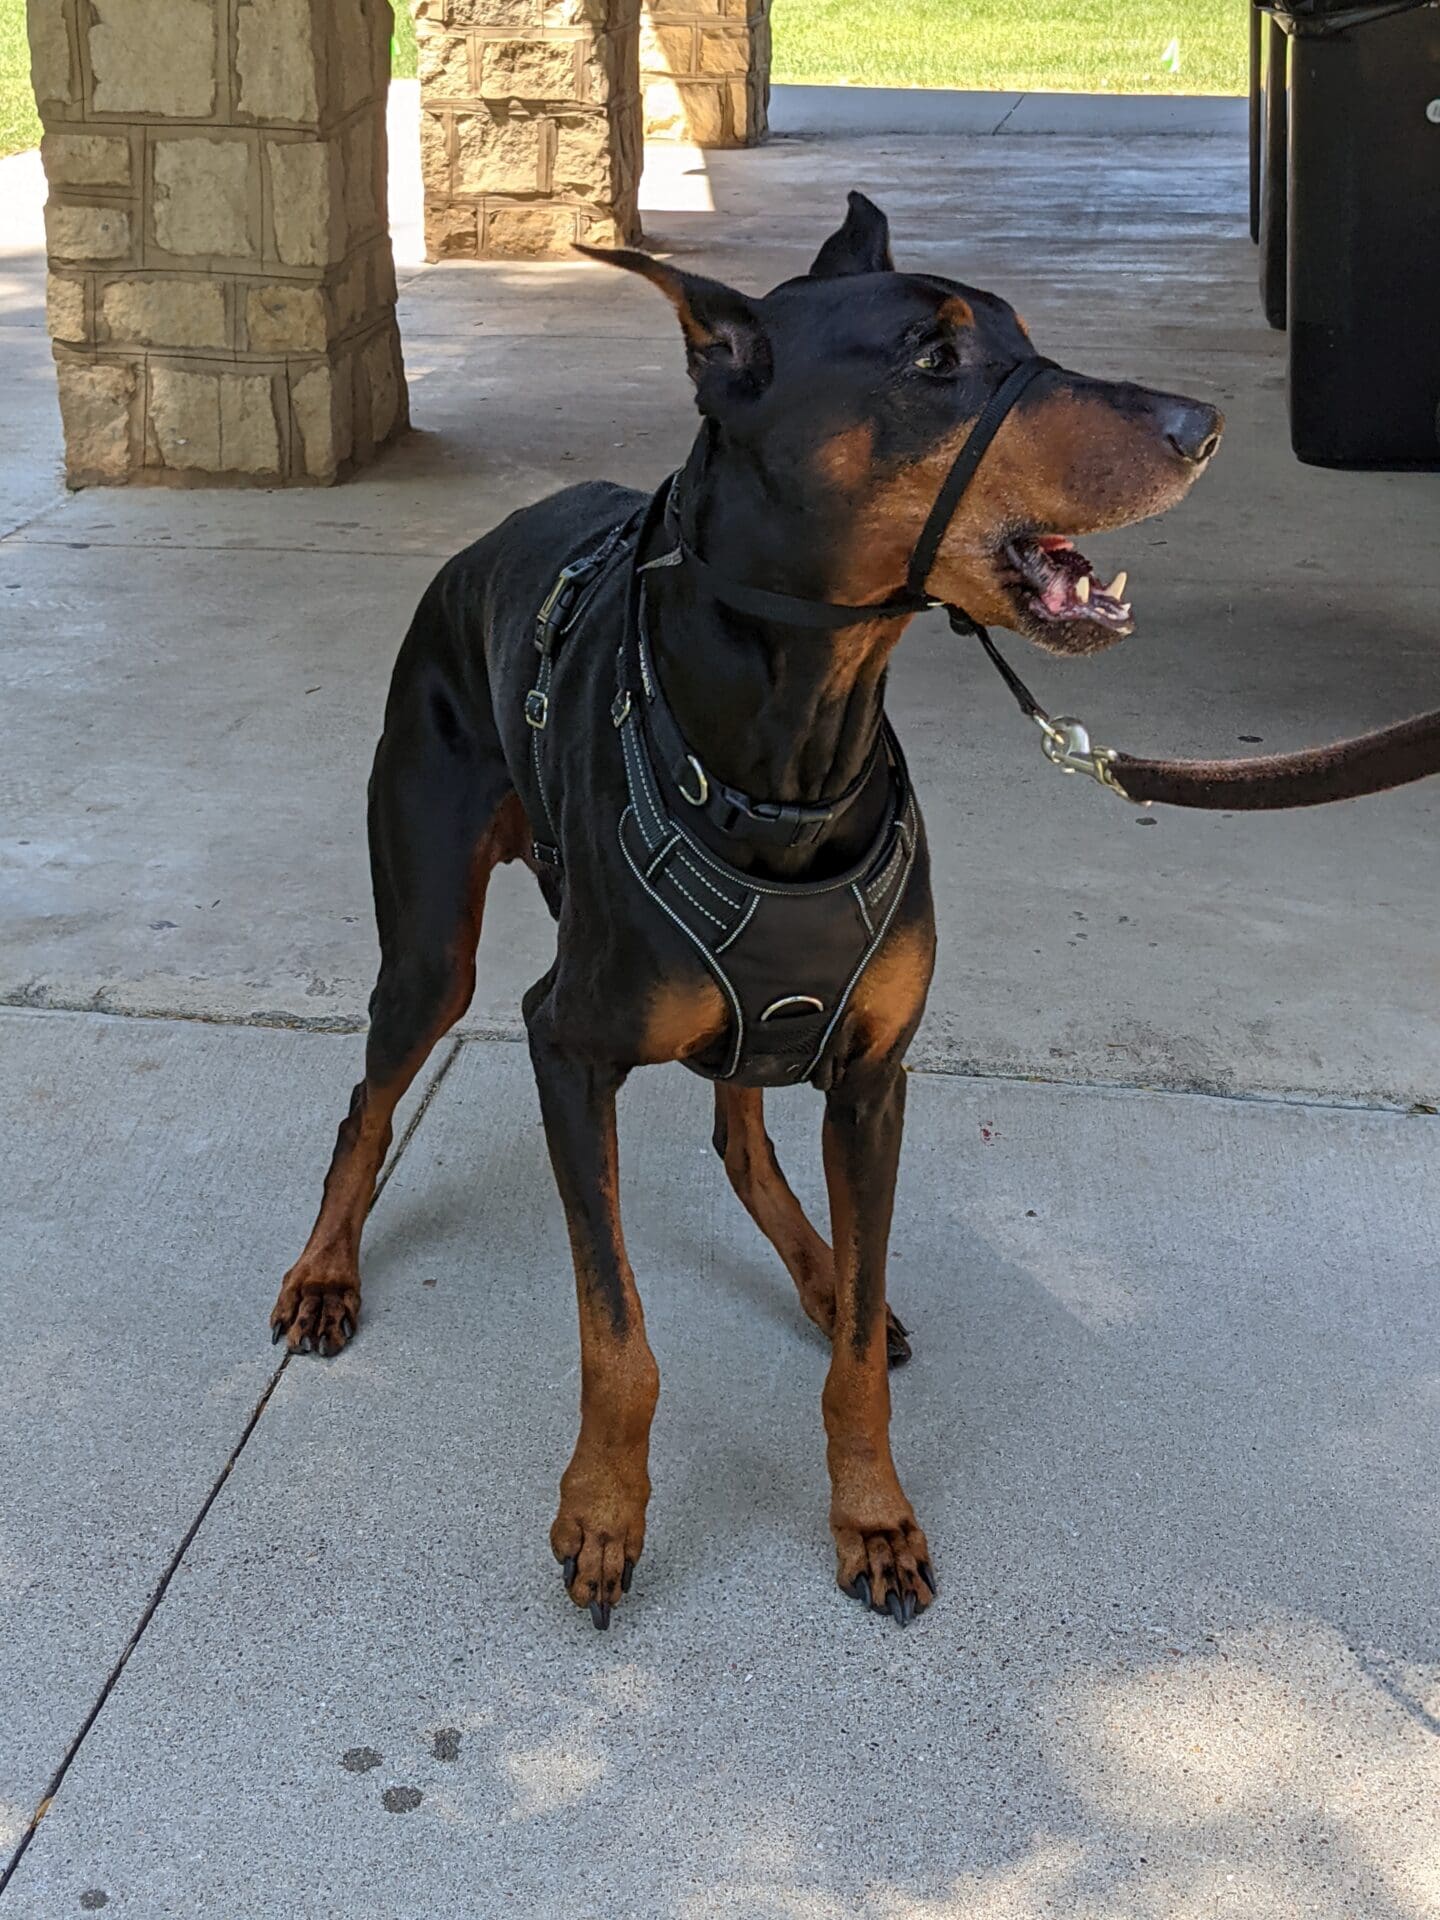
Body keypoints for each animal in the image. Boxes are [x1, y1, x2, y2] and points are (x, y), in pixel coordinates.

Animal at [268, 194, 1221, 1628]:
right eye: (936, 359)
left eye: (1020, 332)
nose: (1202, 423)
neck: (787, 769)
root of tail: (478, 551)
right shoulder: (566, 1044)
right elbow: (619, 1335)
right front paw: (604, 1513)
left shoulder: (876, 1076)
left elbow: (854, 1347)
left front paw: (871, 1511)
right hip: (431, 939)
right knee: (370, 1103)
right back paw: (327, 1270)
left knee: (744, 1139)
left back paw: (824, 1275)